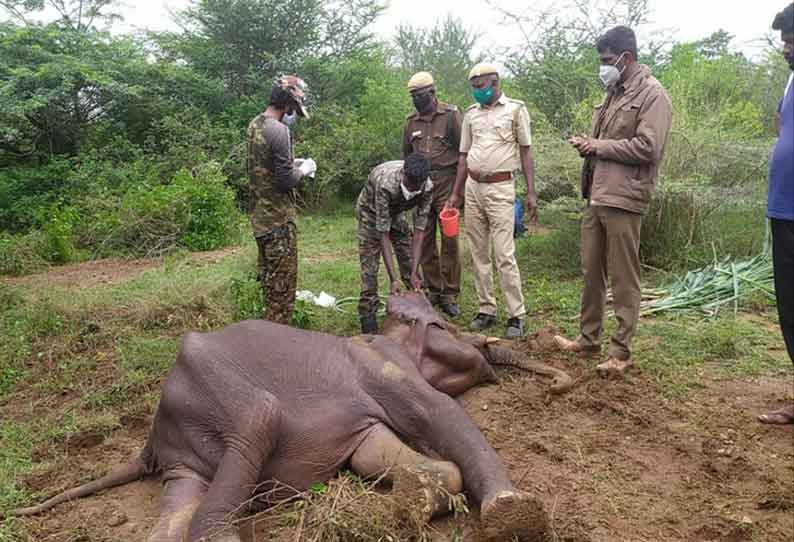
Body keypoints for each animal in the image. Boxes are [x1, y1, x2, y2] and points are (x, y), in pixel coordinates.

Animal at [10, 296, 568, 540]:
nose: (560, 383)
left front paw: (417, 498)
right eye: (448, 327)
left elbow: (374, 453)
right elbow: (441, 411)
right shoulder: (383, 364)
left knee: (176, 511)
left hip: (185, 459)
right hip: (226, 395)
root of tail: (150, 440)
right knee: (256, 422)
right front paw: (515, 516)